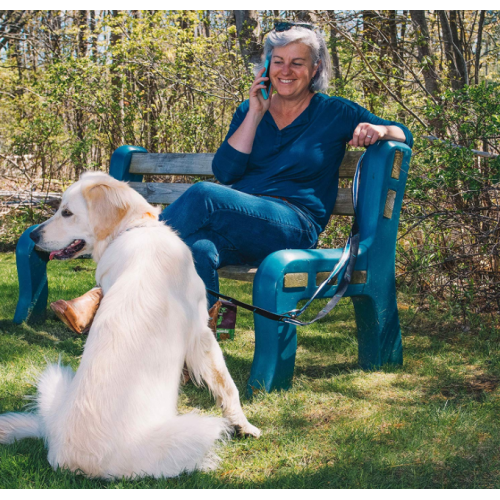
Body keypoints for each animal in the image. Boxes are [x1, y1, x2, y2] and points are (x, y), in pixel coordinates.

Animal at [1, 173, 262, 480]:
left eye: (66, 212)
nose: (33, 236)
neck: (134, 230)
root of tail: (67, 457)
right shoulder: (201, 333)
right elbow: (227, 385)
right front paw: (243, 424)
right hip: (192, 432)